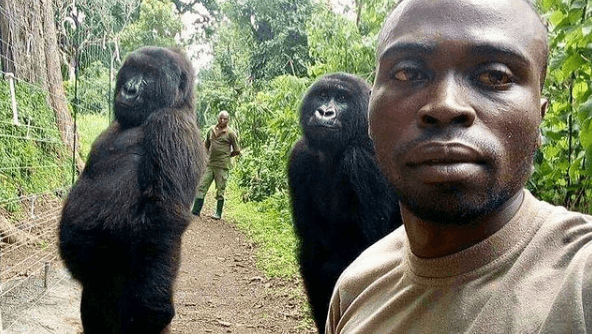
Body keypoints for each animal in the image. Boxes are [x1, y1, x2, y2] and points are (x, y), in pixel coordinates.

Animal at [58, 47, 206, 334]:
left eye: (149, 75)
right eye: (132, 71)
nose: (129, 89)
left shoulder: (171, 126)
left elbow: (164, 216)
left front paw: (155, 305)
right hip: (97, 291)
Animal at [288, 73, 402, 332]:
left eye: (341, 99)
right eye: (322, 95)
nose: (324, 112)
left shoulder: (362, 160)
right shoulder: (299, 156)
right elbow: (313, 254)